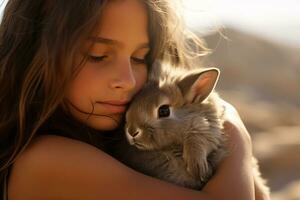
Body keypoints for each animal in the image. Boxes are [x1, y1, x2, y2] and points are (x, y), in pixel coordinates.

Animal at [109, 62, 270, 194]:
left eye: (164, 111)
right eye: (132, 103)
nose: (132, 132)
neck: (170, 148)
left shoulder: (210, 128)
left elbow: (199, 136)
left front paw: (198, 168)